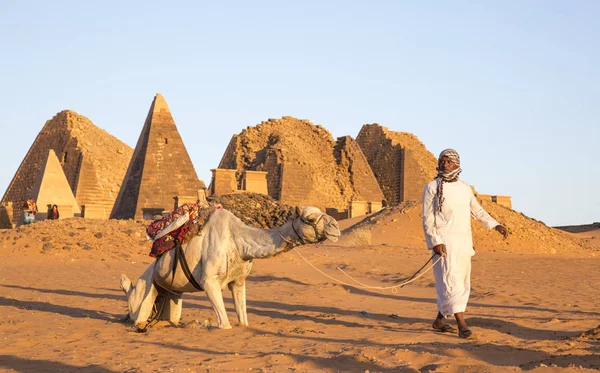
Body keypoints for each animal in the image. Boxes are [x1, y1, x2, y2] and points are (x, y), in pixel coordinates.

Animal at [119, 203, 340, 328]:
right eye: (310, 218)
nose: (336, 227)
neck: (239, 242)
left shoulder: (239, 281)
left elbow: (243, 320)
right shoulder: (209, 281)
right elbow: (225, 325)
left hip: (170, 294)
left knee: (170, 317)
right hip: (147, 286)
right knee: (136, 312)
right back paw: (124, 282)